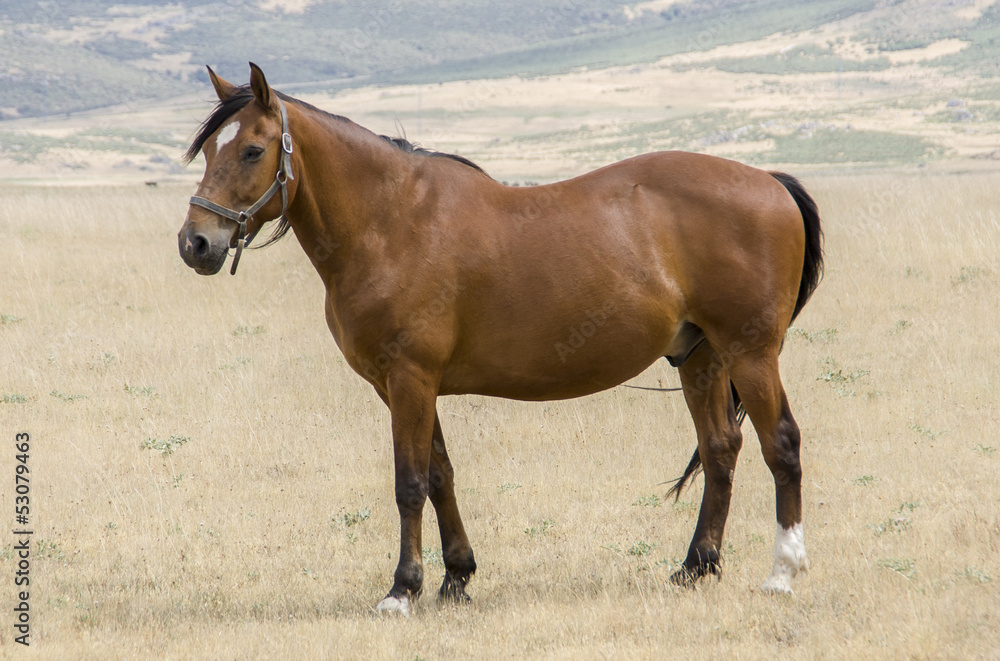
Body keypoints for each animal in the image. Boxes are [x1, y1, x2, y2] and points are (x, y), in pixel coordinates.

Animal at [178, 63, 823, 616]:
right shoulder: (405, 385)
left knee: (781, 446)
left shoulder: (410, 378)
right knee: (721, 449)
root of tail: (770, 181)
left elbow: (409, 484)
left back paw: (782, 573)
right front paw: (456, 577)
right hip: (701, 356)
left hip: (750, 354)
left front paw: (402, 590)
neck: (391, 220)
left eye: (253, 149)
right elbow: (439, 475)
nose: (196, 243)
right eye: (208, 150)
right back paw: (696, 567)